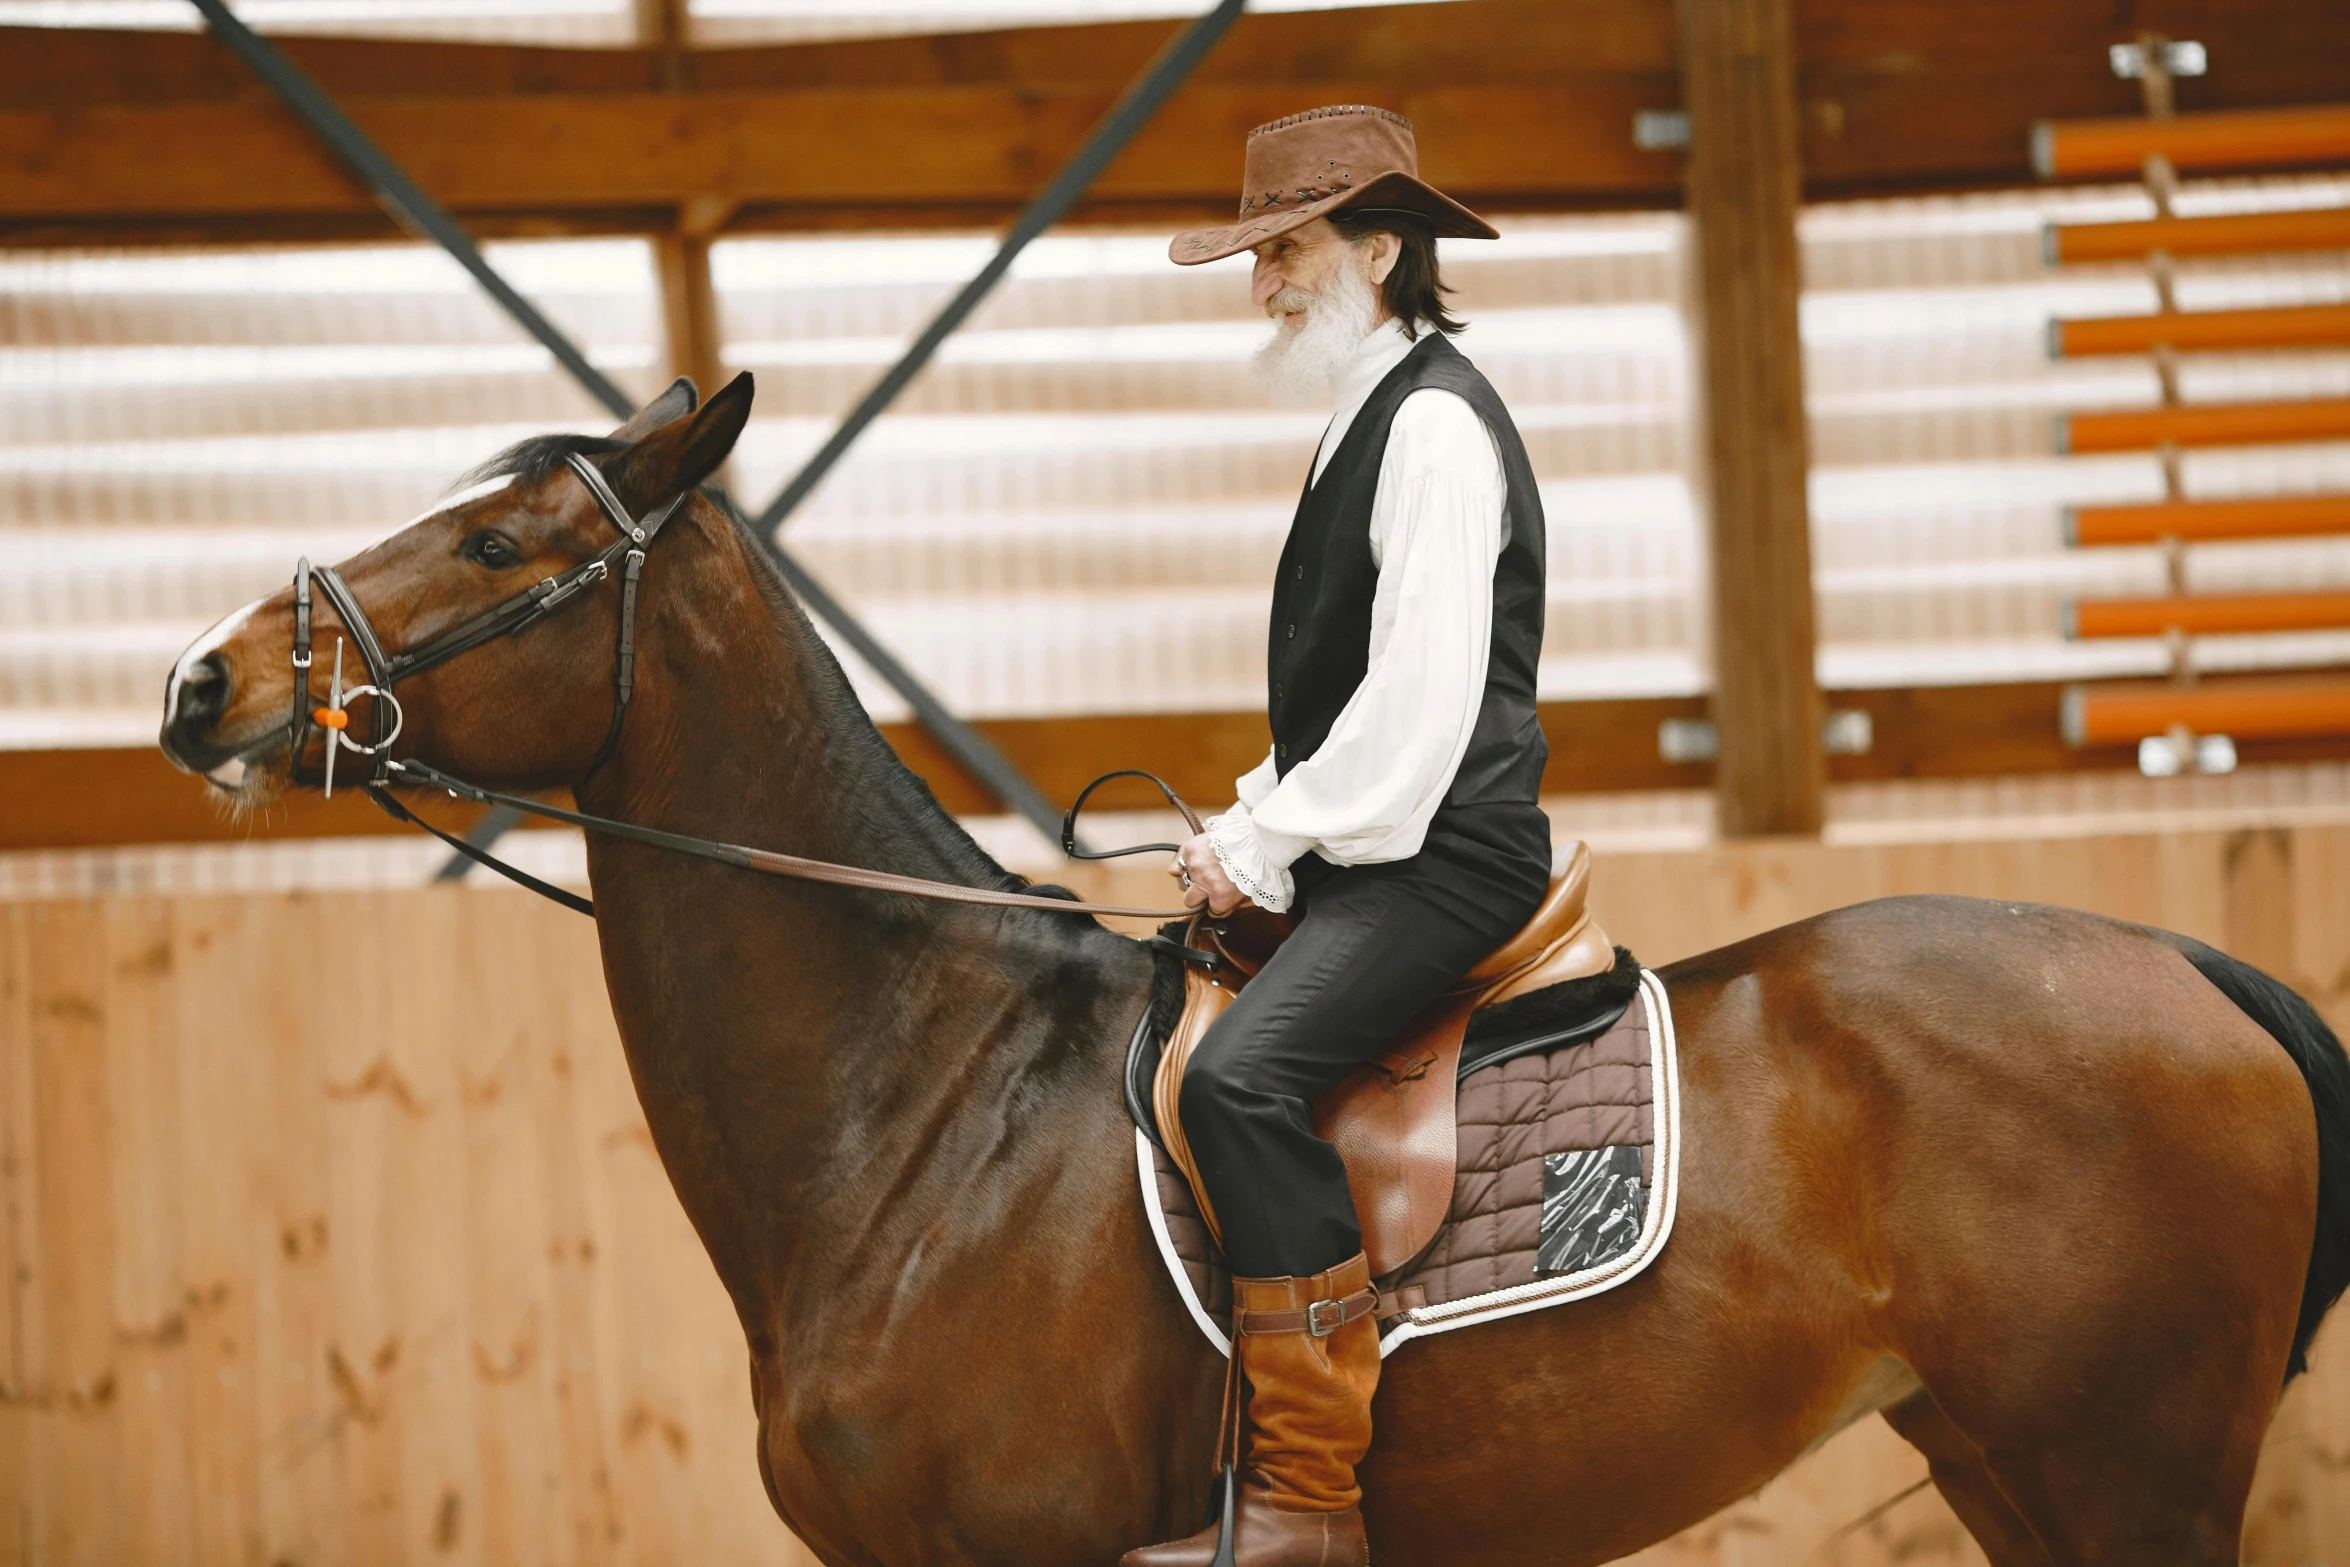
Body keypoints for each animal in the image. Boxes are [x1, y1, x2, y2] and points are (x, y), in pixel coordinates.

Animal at [165, 371, 2350, 1567]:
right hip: (2015, 1464)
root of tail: (2188, 967)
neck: (928, 1123)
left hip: (2126, 1473)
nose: (202, 680)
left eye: (504, 541)